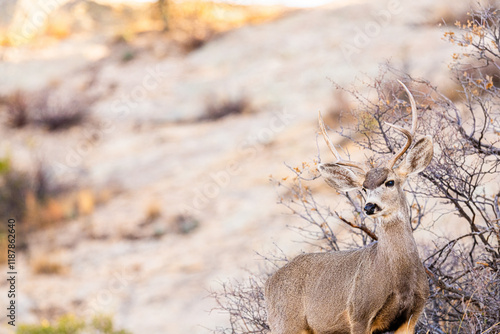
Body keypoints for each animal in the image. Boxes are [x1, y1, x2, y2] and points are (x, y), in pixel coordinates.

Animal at [266, 81, 434, 334]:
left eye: (390, 182)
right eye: (363, 188)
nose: (369, 206)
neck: (398, 278)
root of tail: (268, 284)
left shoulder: (412, 315)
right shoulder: (358, 314)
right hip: (286, 324)